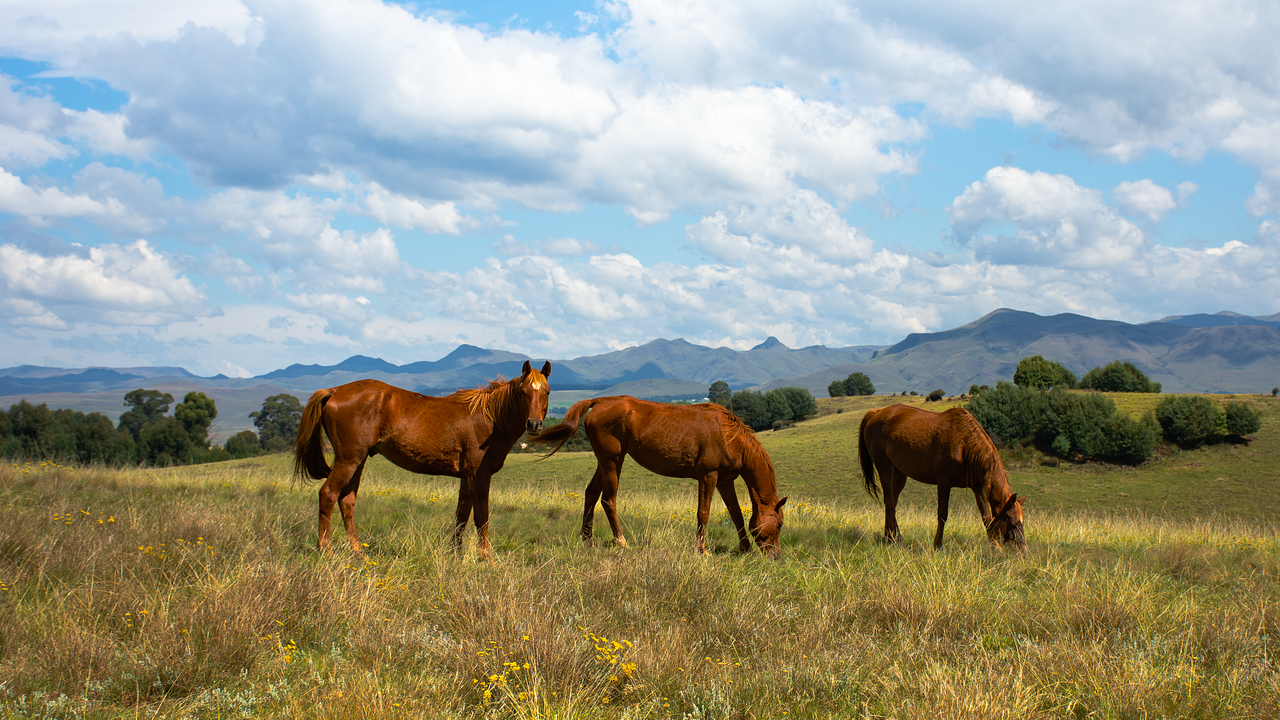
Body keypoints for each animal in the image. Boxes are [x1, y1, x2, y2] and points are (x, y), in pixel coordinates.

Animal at [293, 361, 552, 558]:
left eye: (546, 392)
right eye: (523, 392)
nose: (534, 424)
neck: (490, 418)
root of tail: (334, 390)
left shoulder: (466, 477)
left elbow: (461, 515)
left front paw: (455, 552)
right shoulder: (479, 475)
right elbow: (481, 517)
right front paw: (485, 556)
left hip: (357, 461)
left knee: (347, 501)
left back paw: (357, 550)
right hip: (348, 460)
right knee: (328, 494)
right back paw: (324, 549)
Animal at [527, 394, 783, 558]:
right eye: (780, 524)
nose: (775, 557)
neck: (729, 435)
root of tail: (599, 402)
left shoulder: (725, 481)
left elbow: (736, 514)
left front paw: (745, 549)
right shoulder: (708, 477)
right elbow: (704, 513)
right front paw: (702, 550)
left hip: (605, 461)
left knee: (590, 493)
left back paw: (587, 540)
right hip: (612, 461)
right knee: (608, 500)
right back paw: (621, 542)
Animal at [855, 404, 1024, 548]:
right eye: (1013, 522)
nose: (1024, 552)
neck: (965, 444)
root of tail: (877, 413)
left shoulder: (978, 487)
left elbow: (986, 516)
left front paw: (995, 547)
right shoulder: (944, 482)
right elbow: (942, 514)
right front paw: (938, 545)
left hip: (899, 472)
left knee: (892, 503)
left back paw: (889, 537)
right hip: (883, 467)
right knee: (889, 501)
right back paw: (896, 538)